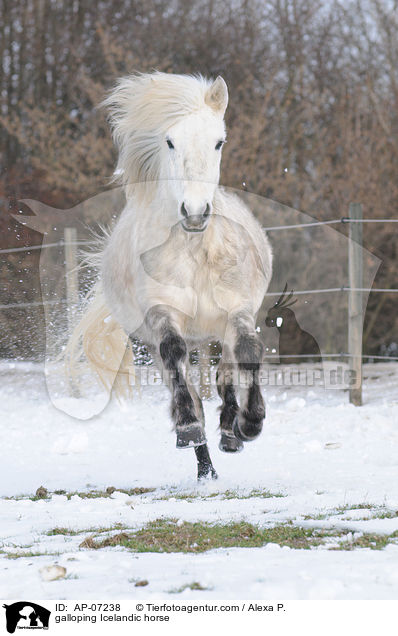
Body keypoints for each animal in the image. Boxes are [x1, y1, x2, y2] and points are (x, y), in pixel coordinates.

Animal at [69, 72, 274, 480]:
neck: (195, 252)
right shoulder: (161, 314)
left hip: (215, 331)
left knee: (225, 373)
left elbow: (247, 352)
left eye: (219, 141)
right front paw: (189, 428)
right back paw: (206, 470)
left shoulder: (237, 310)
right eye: (170, 141)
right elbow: (176, 358)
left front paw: (250, 424)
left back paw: (230, 435)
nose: (194, 212)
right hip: (156, 339)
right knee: (188, 382)